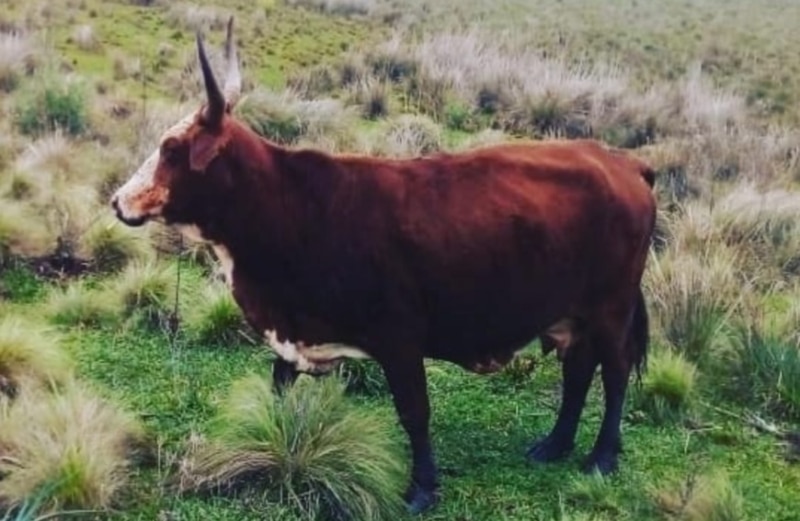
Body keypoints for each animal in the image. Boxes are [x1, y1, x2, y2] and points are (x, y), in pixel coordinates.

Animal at [110, 19, 657, 514]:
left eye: (172, 149)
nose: (117, 201)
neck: (294, 207)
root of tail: (622, 161)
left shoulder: (399, 339)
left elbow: (414, 412)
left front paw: (422, 489)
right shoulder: (296, 332)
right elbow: (280, 388)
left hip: (611, 309)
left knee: (613, 373)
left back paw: (601, 457)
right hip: (573, 315)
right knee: (578, 371)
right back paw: (555, 445)